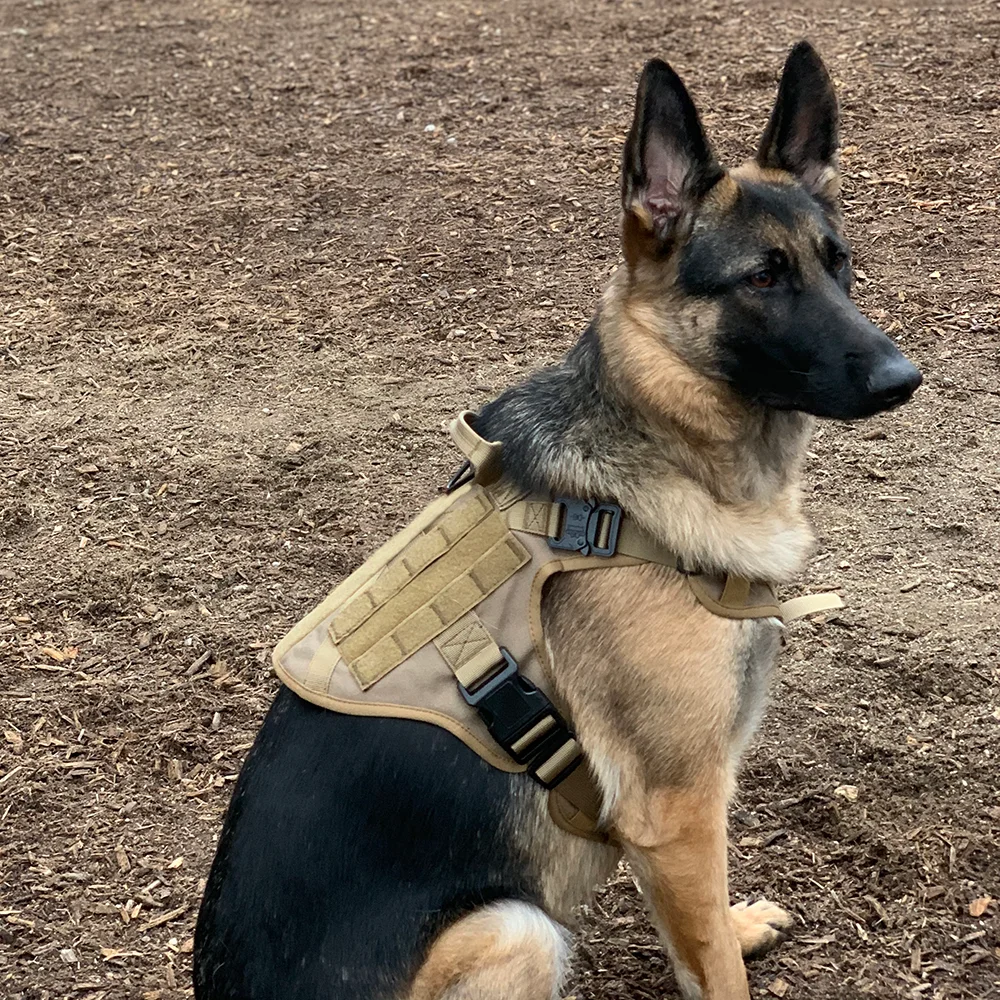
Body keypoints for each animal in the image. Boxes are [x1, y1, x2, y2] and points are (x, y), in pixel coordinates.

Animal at [195, 43, 920, 1000]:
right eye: (763, 277)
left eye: (839, 263)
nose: (904, 378)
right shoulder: (676, 813)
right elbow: (715, 967)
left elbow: (701, 938)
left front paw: (737, 924)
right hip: (519, 928)